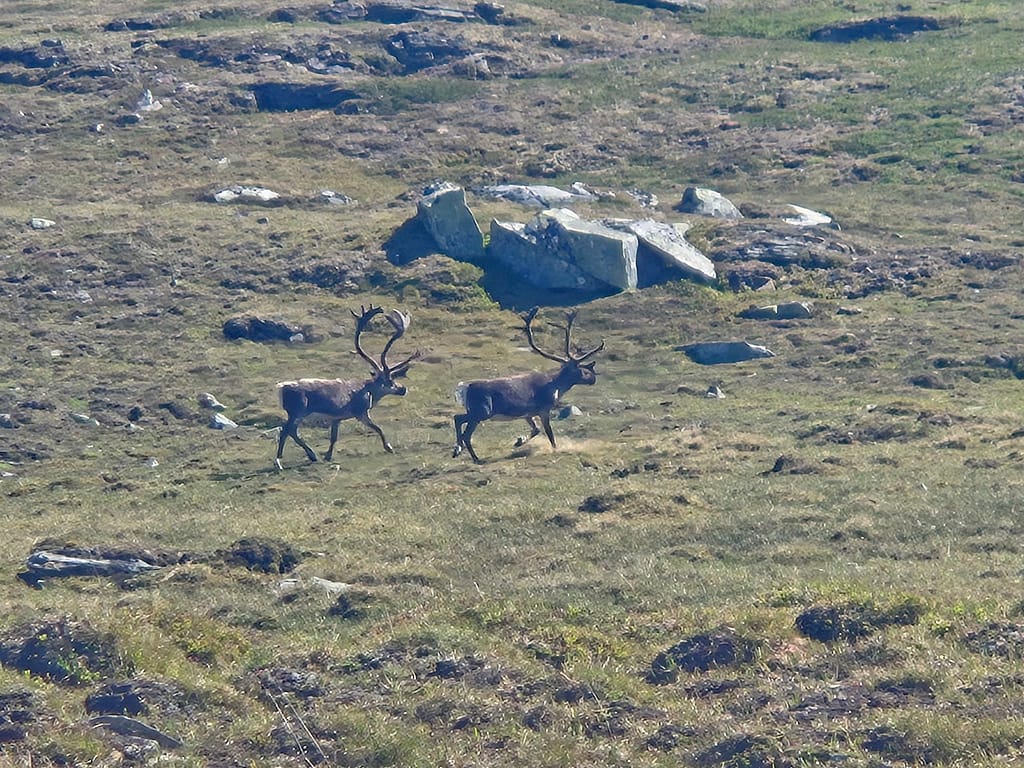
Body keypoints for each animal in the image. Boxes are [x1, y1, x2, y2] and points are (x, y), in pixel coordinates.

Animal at [275, 305, 419, 470]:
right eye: (390, 380)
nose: (403, 389)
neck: (369, 391)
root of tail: (280, 388)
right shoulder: (360, 412)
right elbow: (378, 428)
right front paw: (389, 447)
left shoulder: (337, 417)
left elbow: (334, 437)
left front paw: (328, 455)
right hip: (297, 411)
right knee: (285, 431)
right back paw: (281, 461)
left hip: (296, 413)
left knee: (291, 431)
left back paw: (310, 455)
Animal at [452, 307, 604, 464]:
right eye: (584, 371)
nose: (593, 379)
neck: (557, 385)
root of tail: (464, 387)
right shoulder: (544, 409)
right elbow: (549, 433)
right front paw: (555, 449)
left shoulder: (528, 413)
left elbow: (536, 429)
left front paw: (519, 441)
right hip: (482, 412)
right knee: (464, 431)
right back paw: (475, 458)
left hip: (476, 412)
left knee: (458, 419)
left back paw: (458, 449)